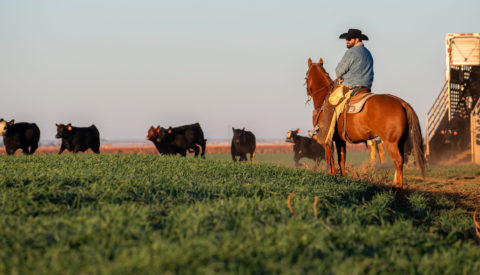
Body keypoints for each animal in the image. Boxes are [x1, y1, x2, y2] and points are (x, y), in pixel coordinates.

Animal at [306, 58, 426, 190]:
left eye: (306, 76)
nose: (307, 92)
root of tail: (401, 102)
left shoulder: (328, 140)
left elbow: (330, 159)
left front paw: (331, 177)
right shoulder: (340, 140)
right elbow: (341, 159)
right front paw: (342, 178)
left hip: (391, 142)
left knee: (398, 161)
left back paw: (397, 188)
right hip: (400, 142)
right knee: (401, 160)